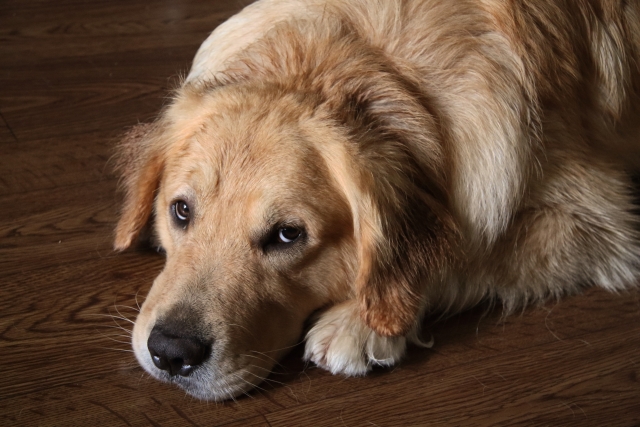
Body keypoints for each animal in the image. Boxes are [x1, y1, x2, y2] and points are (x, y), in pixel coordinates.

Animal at [114, 0, 640, 402]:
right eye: (181, 211)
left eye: (287, 235)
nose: (171, 352)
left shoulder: (598, 220)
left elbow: (467, 254)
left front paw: (360, 324)